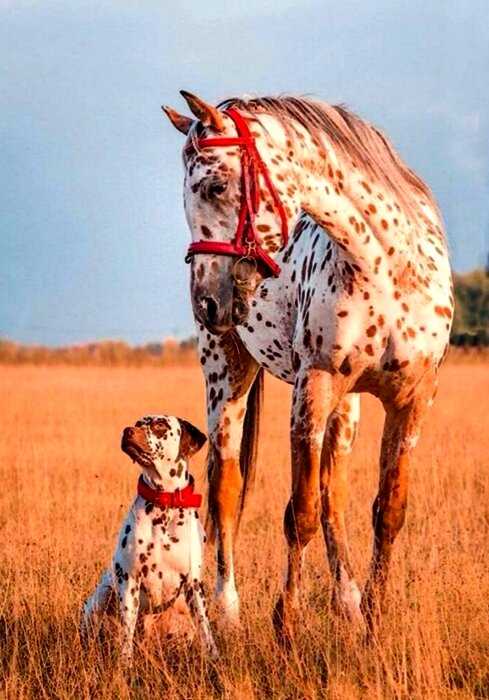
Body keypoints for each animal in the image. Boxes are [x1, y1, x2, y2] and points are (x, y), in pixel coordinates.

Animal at [82, 416, 217, 660]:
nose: (127, 431)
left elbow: (205, 627)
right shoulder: (129, 579)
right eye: (137, 423)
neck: (164, 503)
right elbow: (126, 631)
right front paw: (125, 663)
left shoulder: (194, 583)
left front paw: (214, 657)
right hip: (101, 597)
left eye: (160, 425)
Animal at [162, 93, 452, 640]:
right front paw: (287, 628)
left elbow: (386, 511)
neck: (385, 267)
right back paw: (228, 611)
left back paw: (348, 601)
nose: (206, 302)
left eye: (215, 185)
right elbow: (299, 514)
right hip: (226, 376)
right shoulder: (312, 388)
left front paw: (373, 625)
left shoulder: (411, 401)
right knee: (227, 489)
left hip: (348, 406)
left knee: (333, 491)